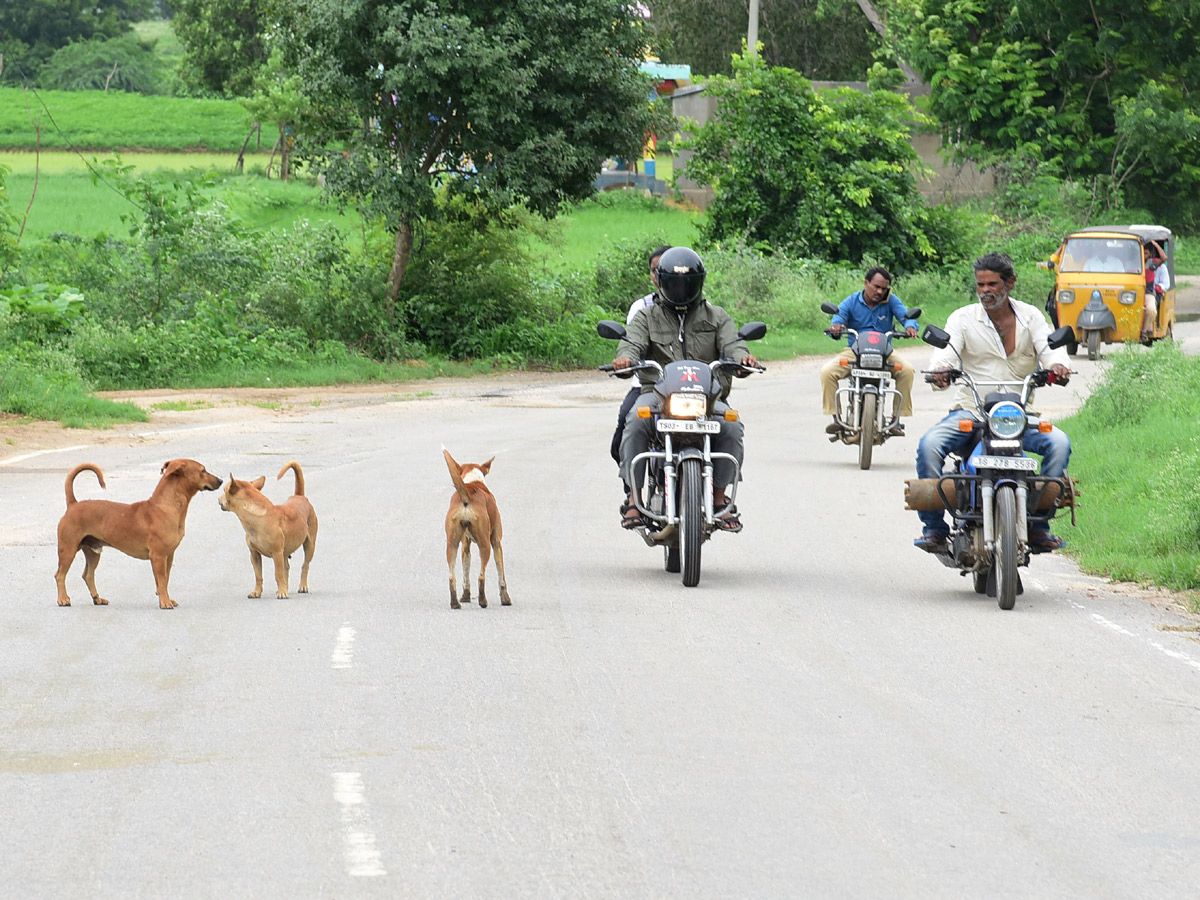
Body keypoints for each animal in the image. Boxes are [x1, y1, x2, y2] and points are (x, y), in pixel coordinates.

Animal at [54, 458, 224, 614]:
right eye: (203, 470)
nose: (221, 481)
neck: (166, 506)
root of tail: (73, 504)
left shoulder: (169, 555)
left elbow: (165, 579)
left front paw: (167, 598)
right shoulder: (158, 556)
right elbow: (162, 580)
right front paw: (165, 602)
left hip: (93, 551)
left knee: (88, 575)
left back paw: (97, 598)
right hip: (68, 549)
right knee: (60, 575)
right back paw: (63, 599)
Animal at [218, 465, 316, 600]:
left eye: (224, 490)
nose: (218, 499)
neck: (258, 516)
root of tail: (299, 496)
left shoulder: (277, 553)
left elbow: (278, 574)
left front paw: (282, 592)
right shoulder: (254, 554)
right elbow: (258, 576)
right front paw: (257, 592)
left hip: (309, 546)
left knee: (305, 565)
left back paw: (301, 586)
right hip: (285, 553)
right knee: (287, 568)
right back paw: (285, 587)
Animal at [446, 448, 511, 614]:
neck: (473, 482)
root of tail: (467, 493)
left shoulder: (465, 546)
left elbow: (466, 575)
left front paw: (465, 596)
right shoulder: (496, 542)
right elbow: (501, 574)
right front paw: (505, 599)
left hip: (452, 545)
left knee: (452, 577)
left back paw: (455, 603)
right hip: (485, 544)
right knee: (481, 576)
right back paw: (482, 601)